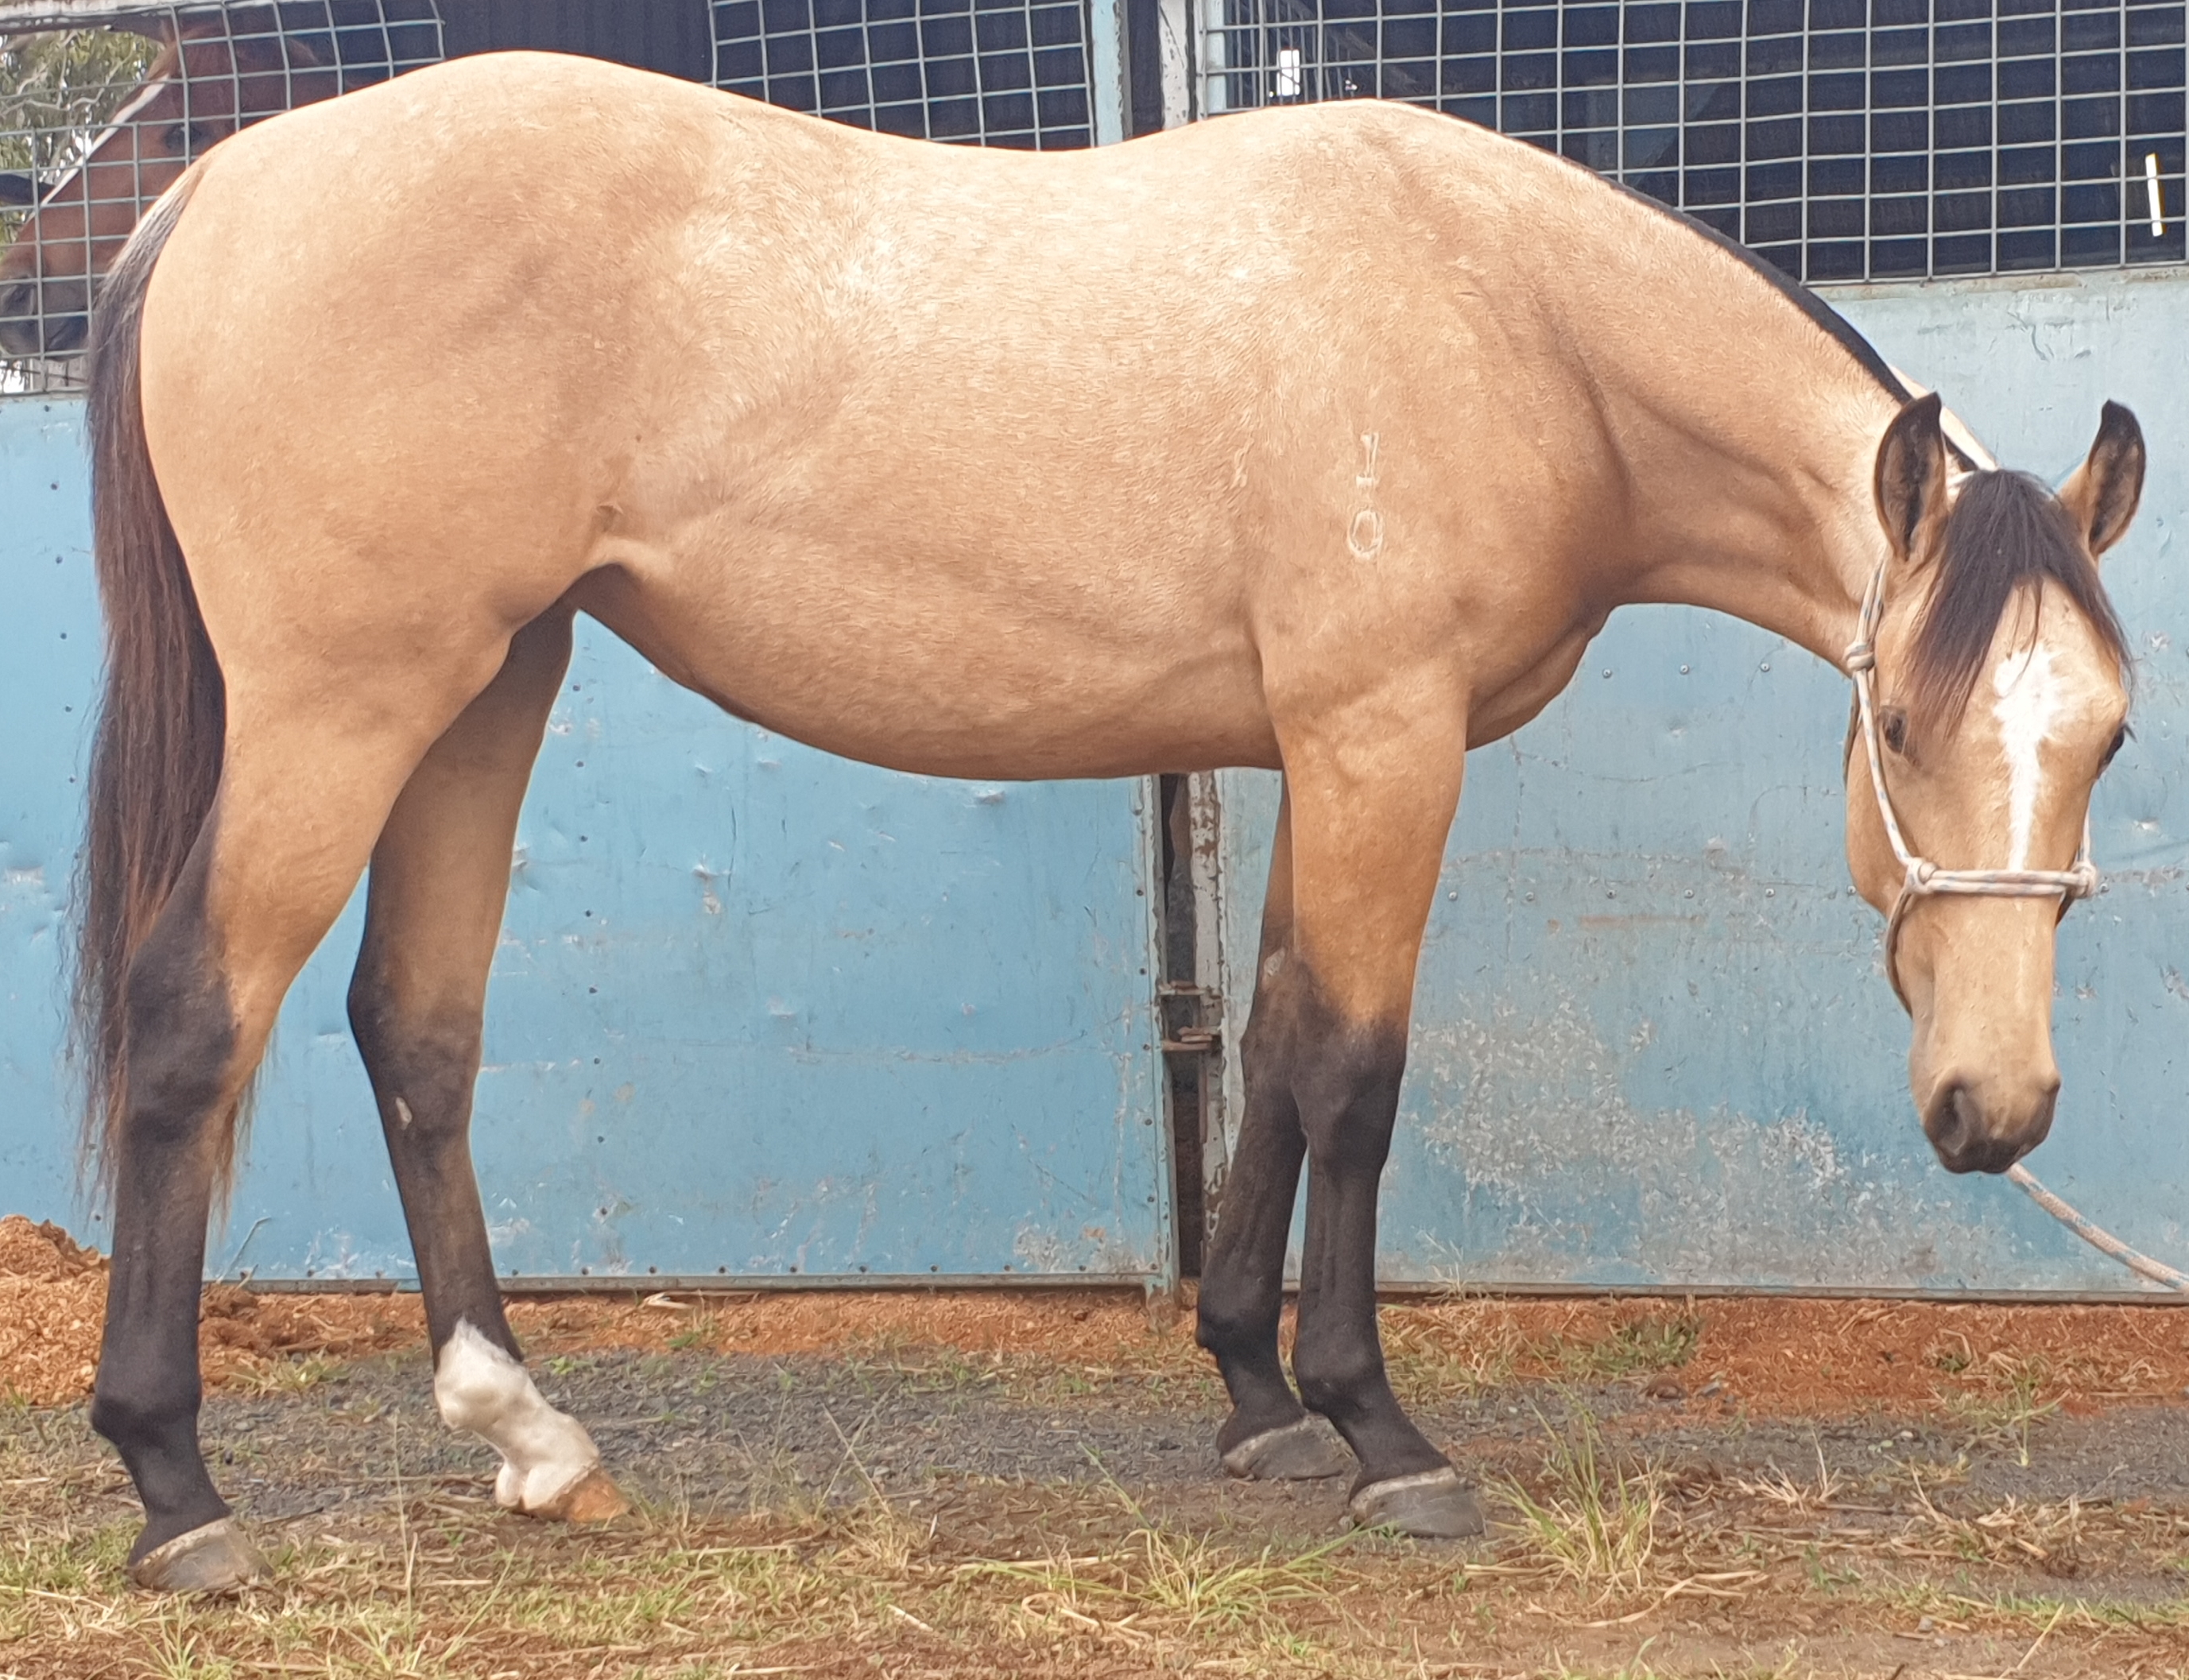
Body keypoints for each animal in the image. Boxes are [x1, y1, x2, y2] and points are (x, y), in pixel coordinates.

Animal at [74, 52, 2144, 1591]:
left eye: (2109, 736)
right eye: (1896, 721)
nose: (2001, 1112)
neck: (1510, 320)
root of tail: (221, 186)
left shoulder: (1322, 752)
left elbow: (1286, 1049)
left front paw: (1256, 1396)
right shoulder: (1386, 738)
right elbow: (1358, 1072)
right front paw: (1382, 1434)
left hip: (489, 683)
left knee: (414, 1029)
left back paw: (529, 1435)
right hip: (351, 703)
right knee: (198, 1018)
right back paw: (178, 1494)